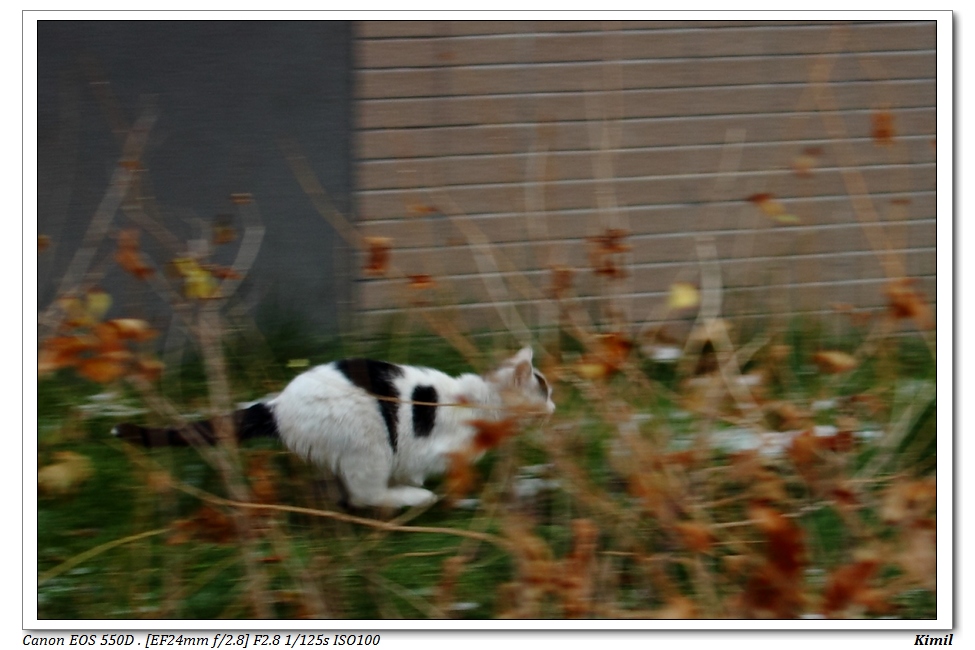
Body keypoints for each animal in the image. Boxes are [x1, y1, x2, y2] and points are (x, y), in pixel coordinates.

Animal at [110, 346, 552, 508]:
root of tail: (278, 403)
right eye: (544, 388)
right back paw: (413, 499)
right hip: (369, 445)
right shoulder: (429, 449)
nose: (554, 405)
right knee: (365, 494)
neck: (483, 400)